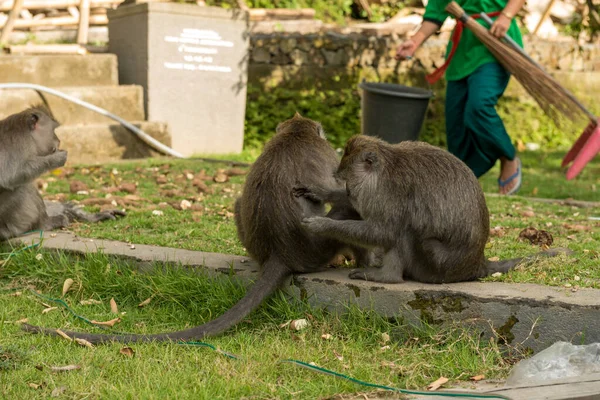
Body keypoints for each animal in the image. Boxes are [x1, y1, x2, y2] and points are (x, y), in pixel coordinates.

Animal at [0, 105, 125, 241]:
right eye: (53, 129)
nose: (58, 140)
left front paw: (79, 212)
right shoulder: (18, 142)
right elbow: (9, 176)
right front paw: (57, 158)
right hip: (12, 225)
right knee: (23, 187)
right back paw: (45, 223)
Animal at [22, 112, 376, 344]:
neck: (294, 133)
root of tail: (281, 253)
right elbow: (343, 192)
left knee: (238, 201)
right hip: (321, 247)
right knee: (348, 210)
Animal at [298, 135, 568, 284]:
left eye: (350, 182)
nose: (351, 192)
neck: (384, 170)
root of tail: (476, 263)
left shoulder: (391, 194)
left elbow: (385, 232)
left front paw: (324, 225)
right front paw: (322, 192)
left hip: (438, 265)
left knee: (410, 228)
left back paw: (388, 277)